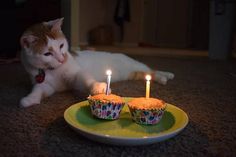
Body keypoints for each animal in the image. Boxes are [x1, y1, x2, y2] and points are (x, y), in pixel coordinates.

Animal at [19, 17, 173, 107]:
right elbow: (38, 90)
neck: (54, 70)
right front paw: (29, 99)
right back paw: (164, 78)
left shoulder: (76, 75)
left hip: (134, 64)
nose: (62, 59)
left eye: (61, 46)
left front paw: (99, 87)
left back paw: (167, 75)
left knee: (151, 70)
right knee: (146, 73)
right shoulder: (46, 85)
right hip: (132, 74)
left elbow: (86, 80)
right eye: (47, 54)